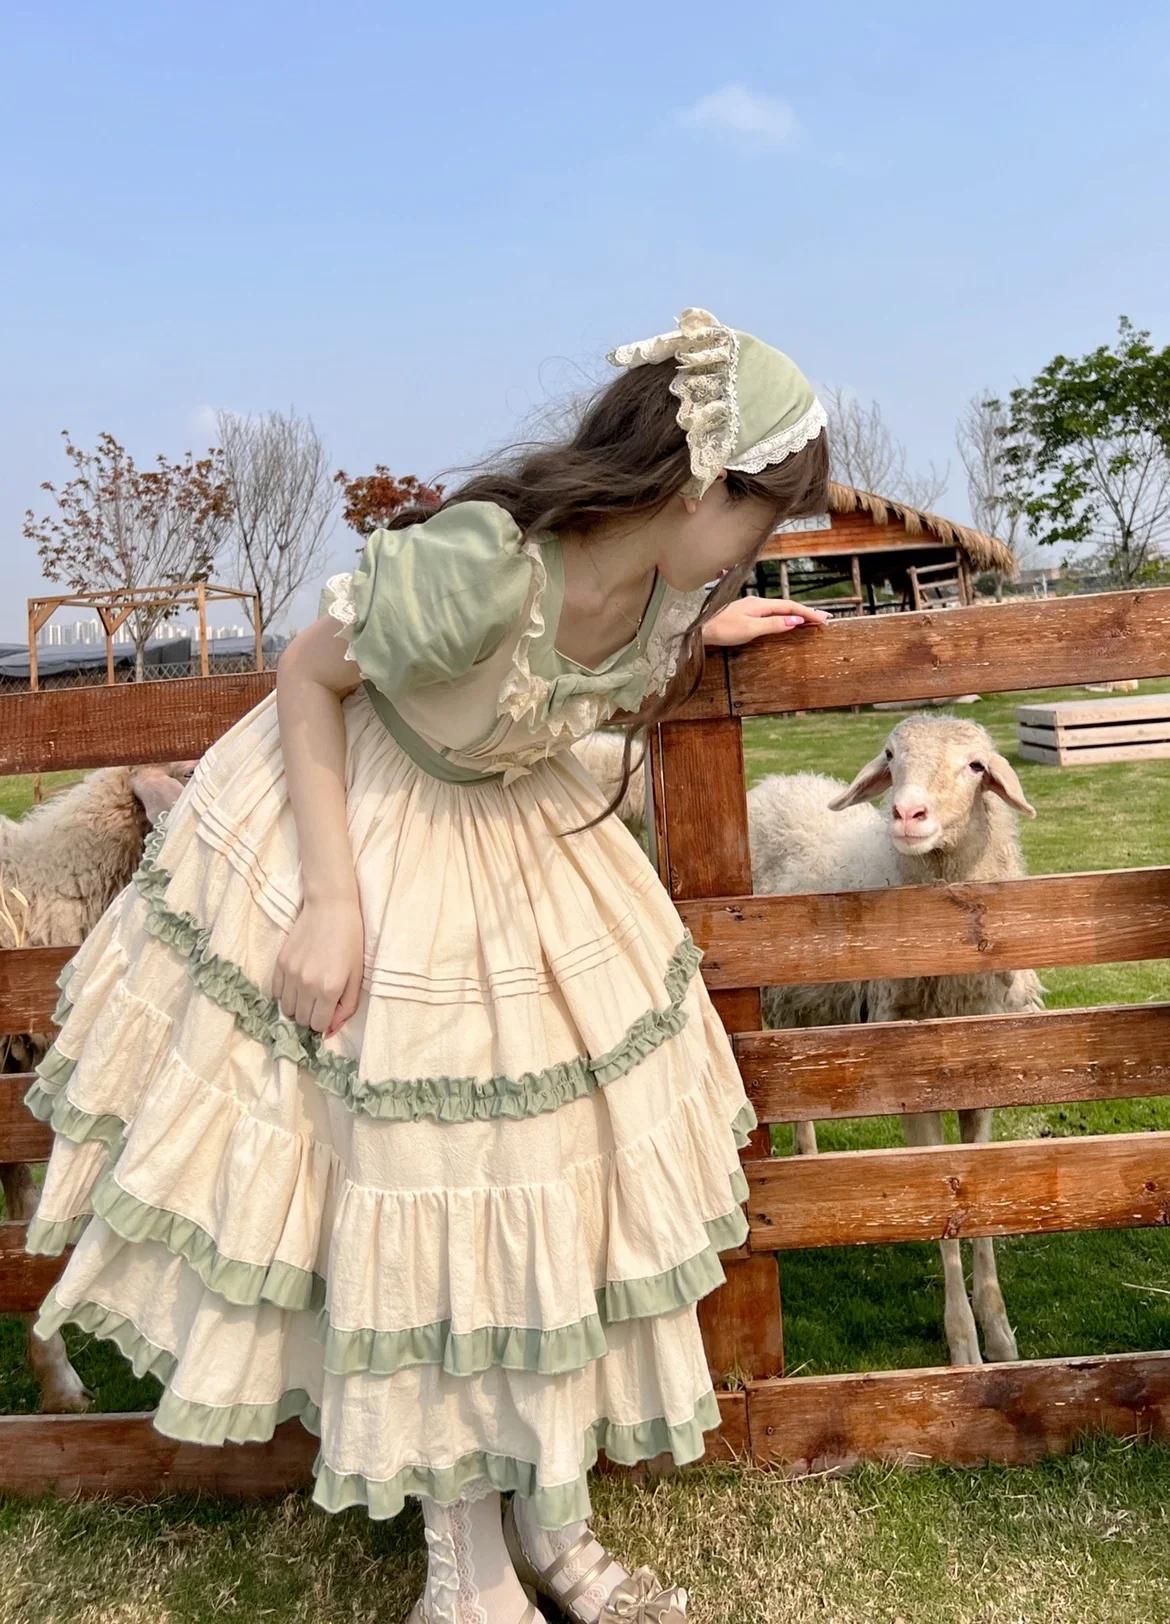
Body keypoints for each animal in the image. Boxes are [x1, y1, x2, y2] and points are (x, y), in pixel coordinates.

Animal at [750, 717, 1040, 1364]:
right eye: (890, 755)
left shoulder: (984, 1072)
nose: (907, 813)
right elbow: (937, 1202)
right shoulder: (912, 1082)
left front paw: (999, 1333)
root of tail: (779, 781)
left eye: (976, 765)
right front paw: (963, 1346)